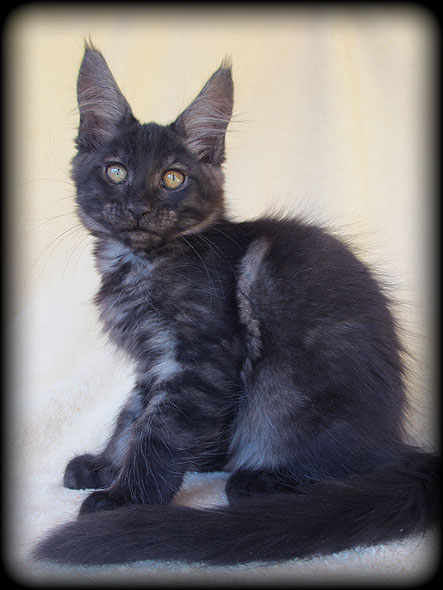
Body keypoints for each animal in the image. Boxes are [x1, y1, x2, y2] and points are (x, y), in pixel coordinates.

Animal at [34, 43, 439, 566]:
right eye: (116, 171)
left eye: (173, 178)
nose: (139, 207)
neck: (141, 262)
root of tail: (395, 441)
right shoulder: (153, 362)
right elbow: (132, 416)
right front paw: (105, 465)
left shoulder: (200, 359)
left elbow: (160, 434)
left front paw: (124, 500)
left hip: (288, 389)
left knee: (341, 465)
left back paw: (263, 481)